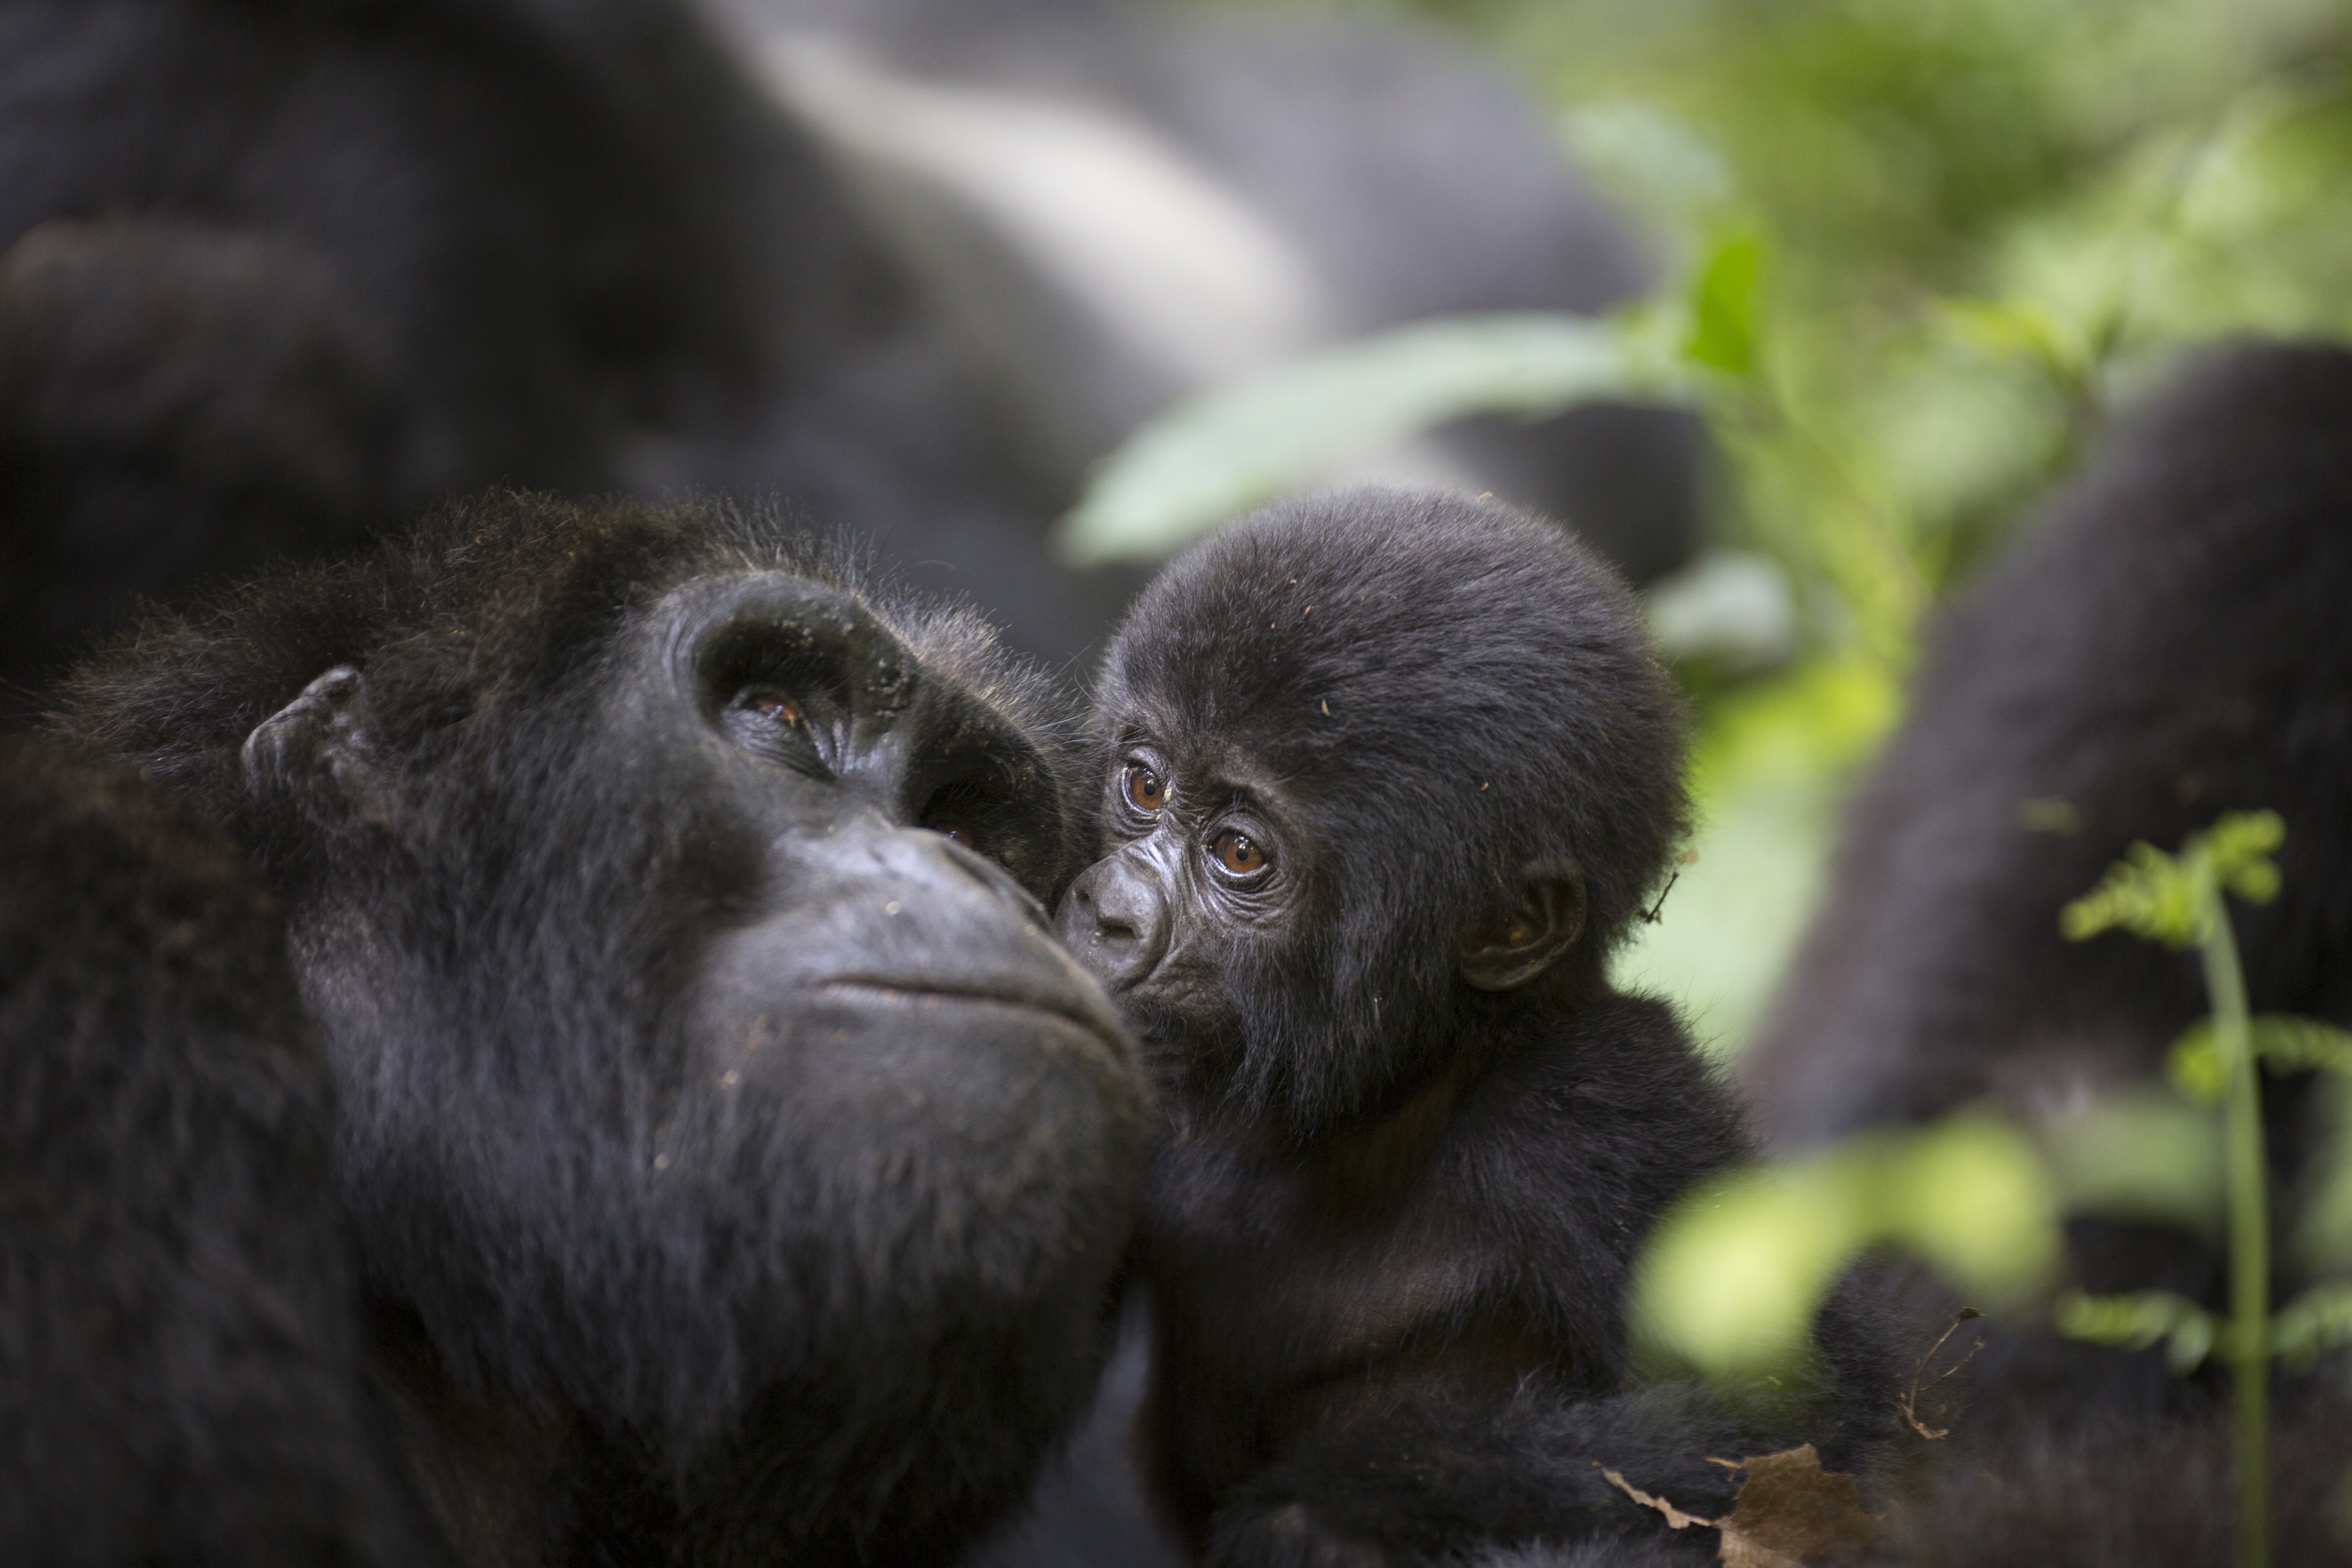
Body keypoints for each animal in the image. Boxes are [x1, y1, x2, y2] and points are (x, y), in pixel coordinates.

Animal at [1058, 493, 1882, 1568]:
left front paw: (1321, 1503)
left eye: (1238, 852)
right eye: (1144, 786)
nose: (1105, 912)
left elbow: (1811, 1437)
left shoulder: (1594, 1103)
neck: (1389, 1088)